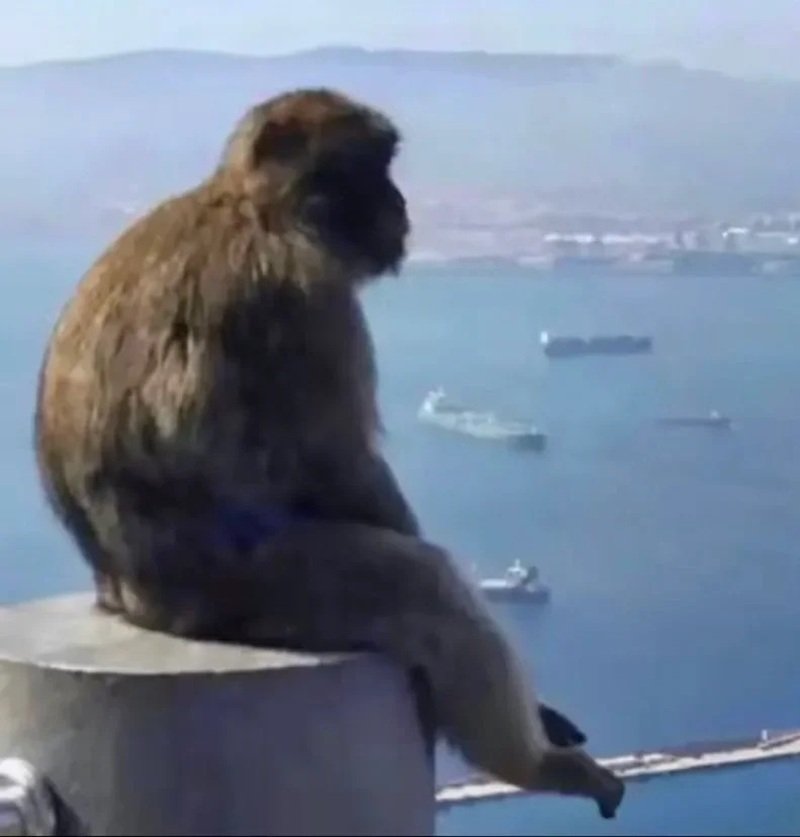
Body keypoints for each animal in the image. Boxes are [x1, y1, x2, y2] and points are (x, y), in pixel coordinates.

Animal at [33, 88, 625, 820]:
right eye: (372, 164)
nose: (400, 200)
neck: (253, 206)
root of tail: (125, 597)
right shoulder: (306, 293)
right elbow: (342, 468)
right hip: (254, 585)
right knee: (423, 585)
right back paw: (533, 764)